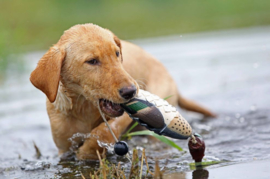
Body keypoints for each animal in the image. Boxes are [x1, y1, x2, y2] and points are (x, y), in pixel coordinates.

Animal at [30, 23, 215, 159]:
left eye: (117, 53)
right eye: (92, 61)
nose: (131, 92)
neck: (84, 108)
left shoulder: (125, 115)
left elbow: (104, 131)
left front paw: (88, 151)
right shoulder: (63, 149)